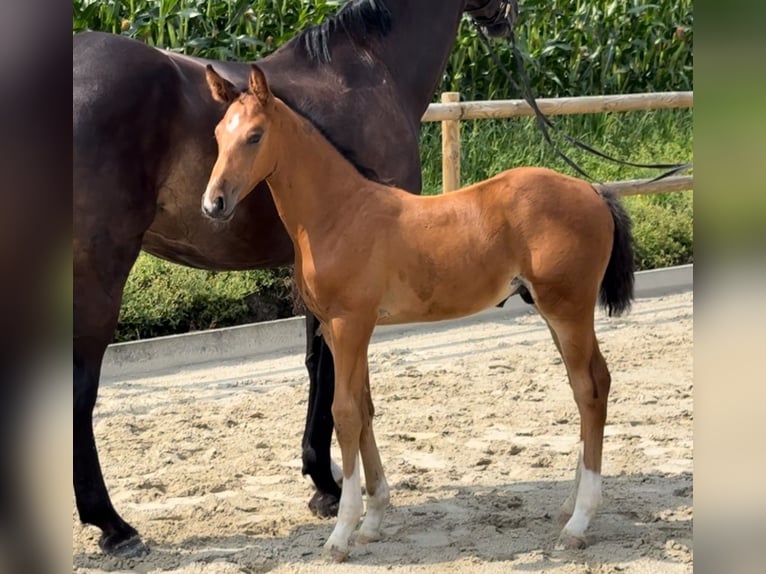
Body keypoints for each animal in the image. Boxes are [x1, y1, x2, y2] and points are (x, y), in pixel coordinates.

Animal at [73, 0, 516, 560]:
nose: (504, 19)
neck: (367, 66)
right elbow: (332, 378)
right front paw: (330, 489)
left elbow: (316, 366)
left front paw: (321, 479)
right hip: (99, 270)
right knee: (80, 388)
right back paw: (113, 525)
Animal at [202, 64, 636, 564]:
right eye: (218, 134)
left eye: (254, 136)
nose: (213, 204)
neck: (340, 215)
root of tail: (593, 190)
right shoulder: (343, 328)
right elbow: (365, 409)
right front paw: (372, 522)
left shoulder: (350, 325)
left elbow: (344, 413)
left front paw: (341, 534)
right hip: (556, 313)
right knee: (588, 384)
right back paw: (569, 504)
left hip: (569, 309)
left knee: (590, 390)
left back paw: (579, 523)